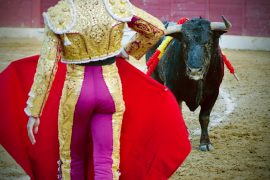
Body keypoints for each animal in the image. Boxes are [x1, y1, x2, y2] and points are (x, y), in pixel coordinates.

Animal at [147, 17, 231, 151]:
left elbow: (204, 117)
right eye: (185, 43)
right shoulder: (173, 90)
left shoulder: (213, 93)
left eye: (208, 43)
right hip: (154, 78)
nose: (195, 70)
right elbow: (177, 114)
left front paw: (205, 143)